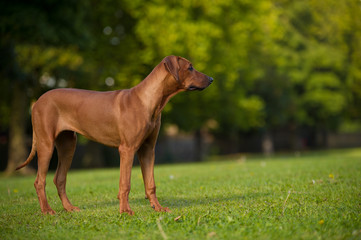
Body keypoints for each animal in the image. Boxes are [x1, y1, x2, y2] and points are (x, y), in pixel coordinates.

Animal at [16, 55, 212, 216]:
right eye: (190, 67)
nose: (211, 79)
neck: (149, 100)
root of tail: (37, 101)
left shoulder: (148, 150)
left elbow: (151, 184)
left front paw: (157, 207)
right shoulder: (127, 149)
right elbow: (125, 183)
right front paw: (125, 210)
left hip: (68, 145)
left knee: (60, 179)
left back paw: (69, 207)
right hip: (46, 144)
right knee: (39, 181)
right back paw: (47, 210)